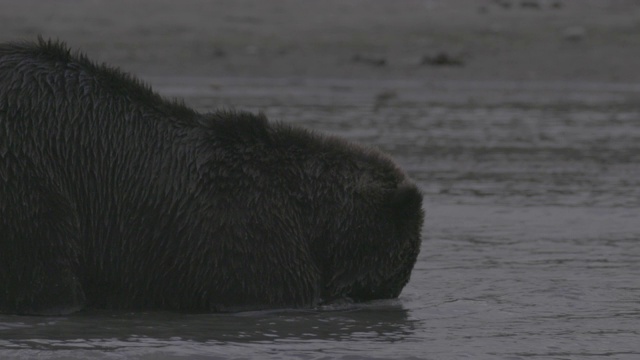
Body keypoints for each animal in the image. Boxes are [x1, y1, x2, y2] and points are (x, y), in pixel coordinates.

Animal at [0, 38, 424, 316]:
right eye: (399, 268)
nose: (387, 296)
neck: (313, 218)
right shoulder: (250, 236)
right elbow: (262, 291)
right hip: (34, 170)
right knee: (47, 266)